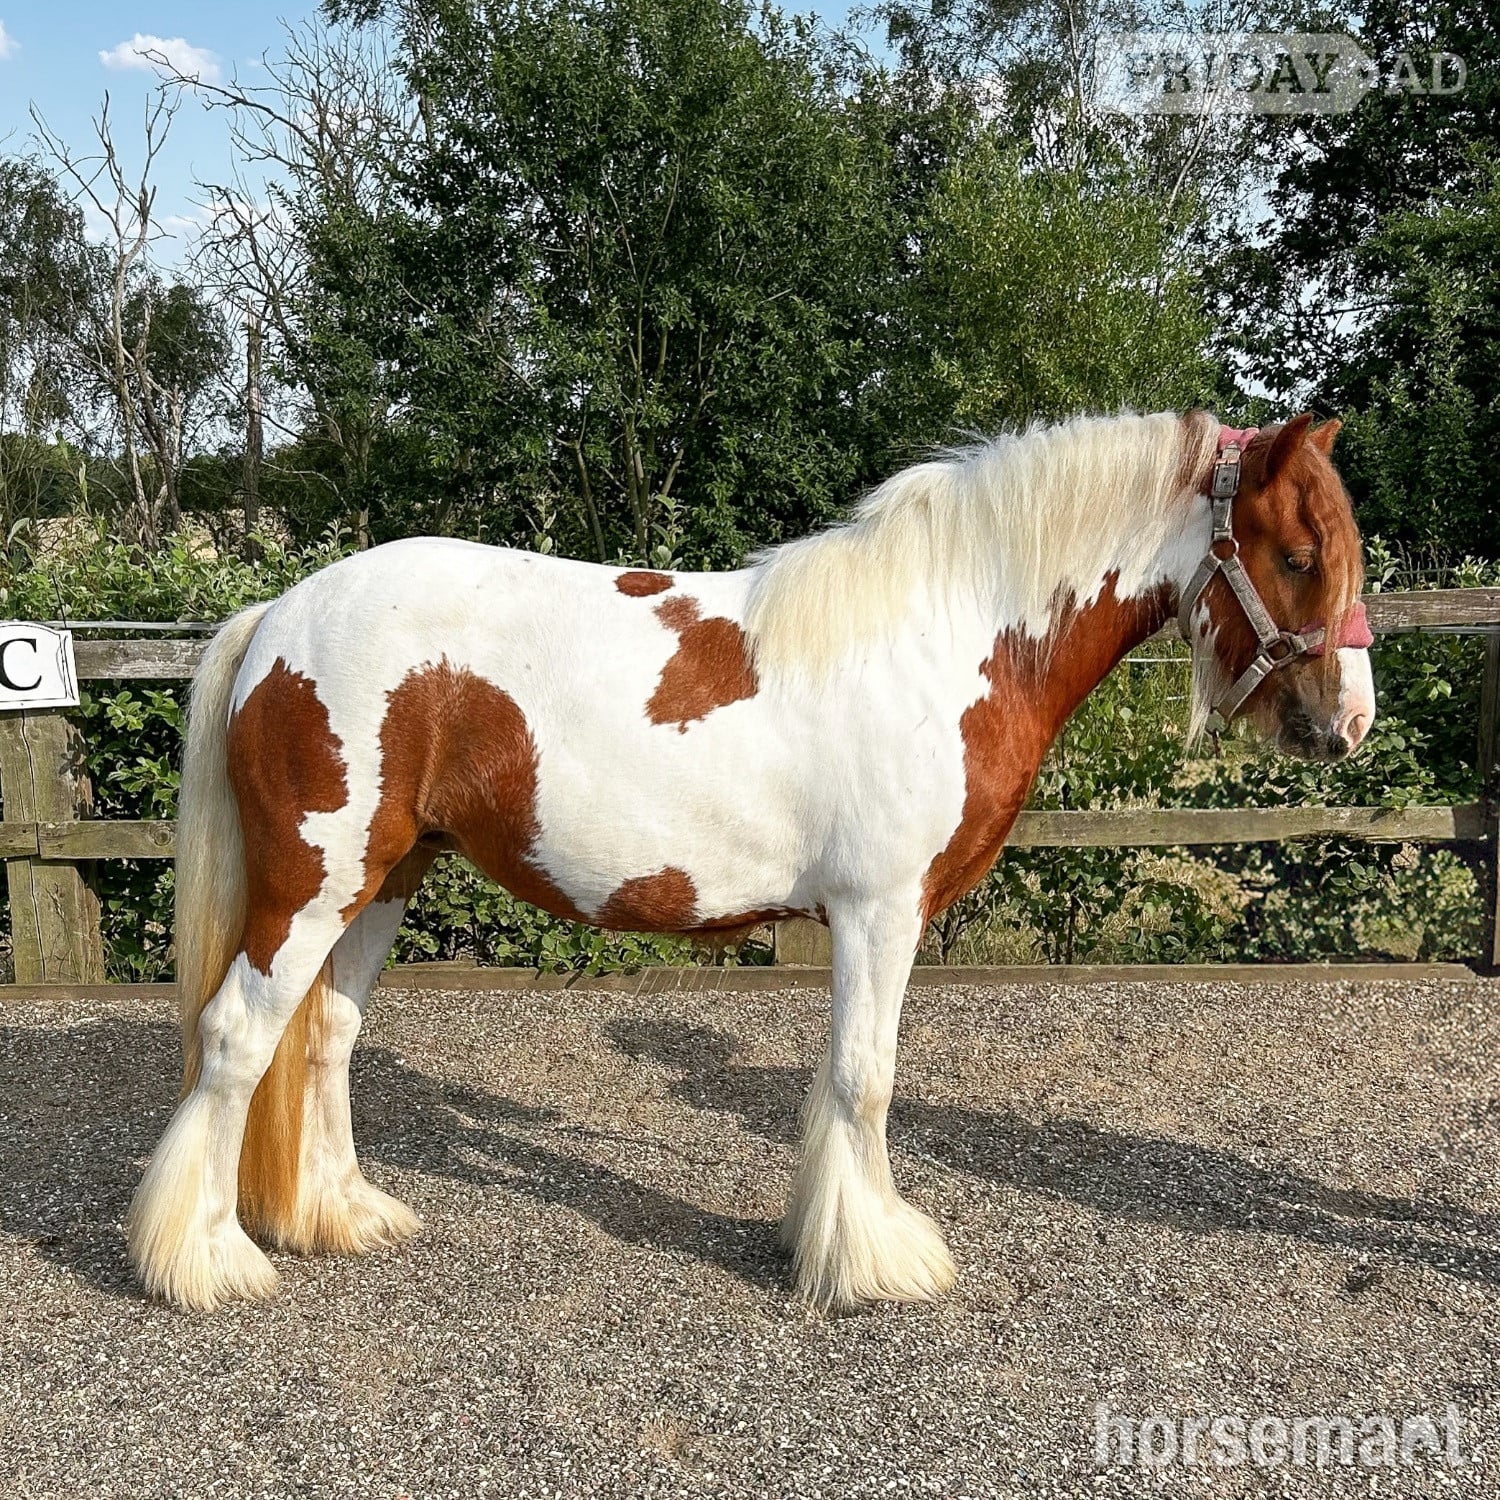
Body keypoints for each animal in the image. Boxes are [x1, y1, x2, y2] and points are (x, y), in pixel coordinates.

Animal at [127, 409, 1376, 1313]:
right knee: (237, 1038)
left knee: (325, 1038)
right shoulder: (881, 911)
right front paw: (876, 1263)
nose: (1348, 723)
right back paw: (207, 1262)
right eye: (1298, 553)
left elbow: (841, 1083)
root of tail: (279, 614)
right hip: (315, 882)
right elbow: (865, 1078)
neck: (953, 634)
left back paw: (343, 1215)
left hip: (388, 878)